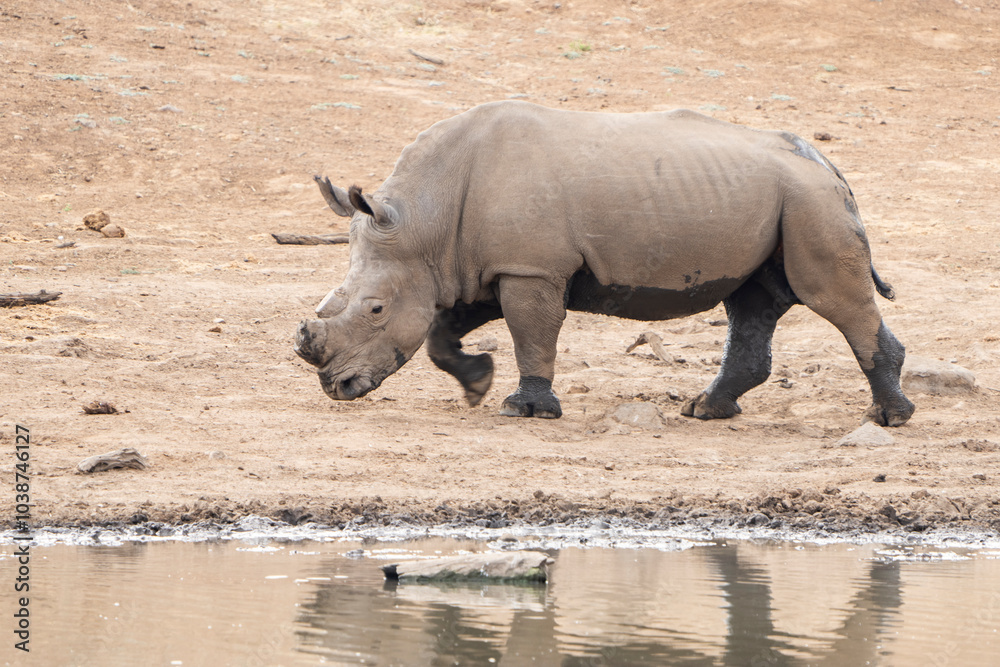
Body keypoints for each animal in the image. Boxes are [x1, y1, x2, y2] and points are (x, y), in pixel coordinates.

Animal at [295, 101, 914, 427]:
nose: (336, 388)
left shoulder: (530, 269)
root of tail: (827, 163)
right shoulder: (482, 268)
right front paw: (476, 386)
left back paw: (891, 418)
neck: (425, 221)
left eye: (375, 310)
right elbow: (441, 332)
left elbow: (532, 333)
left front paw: (527, 408)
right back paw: (704, 411)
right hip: (778, 199)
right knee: (752, 302)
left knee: (829, 297)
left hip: (810, 200)